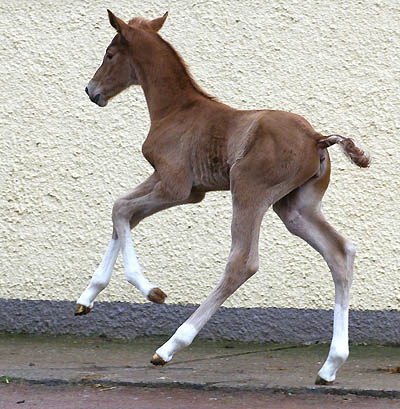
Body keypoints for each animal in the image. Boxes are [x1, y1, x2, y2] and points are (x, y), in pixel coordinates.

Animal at [78, 11, 372, 384]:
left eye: (110, 54)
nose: (91, 90)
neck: (176, 109)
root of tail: (317, 137)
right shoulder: (180, 186)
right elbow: (124, 213)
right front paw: (86, 298)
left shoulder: (176, 186)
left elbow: (121, 209)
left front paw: (151, 291)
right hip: (294, 206)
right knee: (340, 252)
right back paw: (331, 365)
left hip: (248, 191)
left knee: (242, 263)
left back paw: (170, 346)